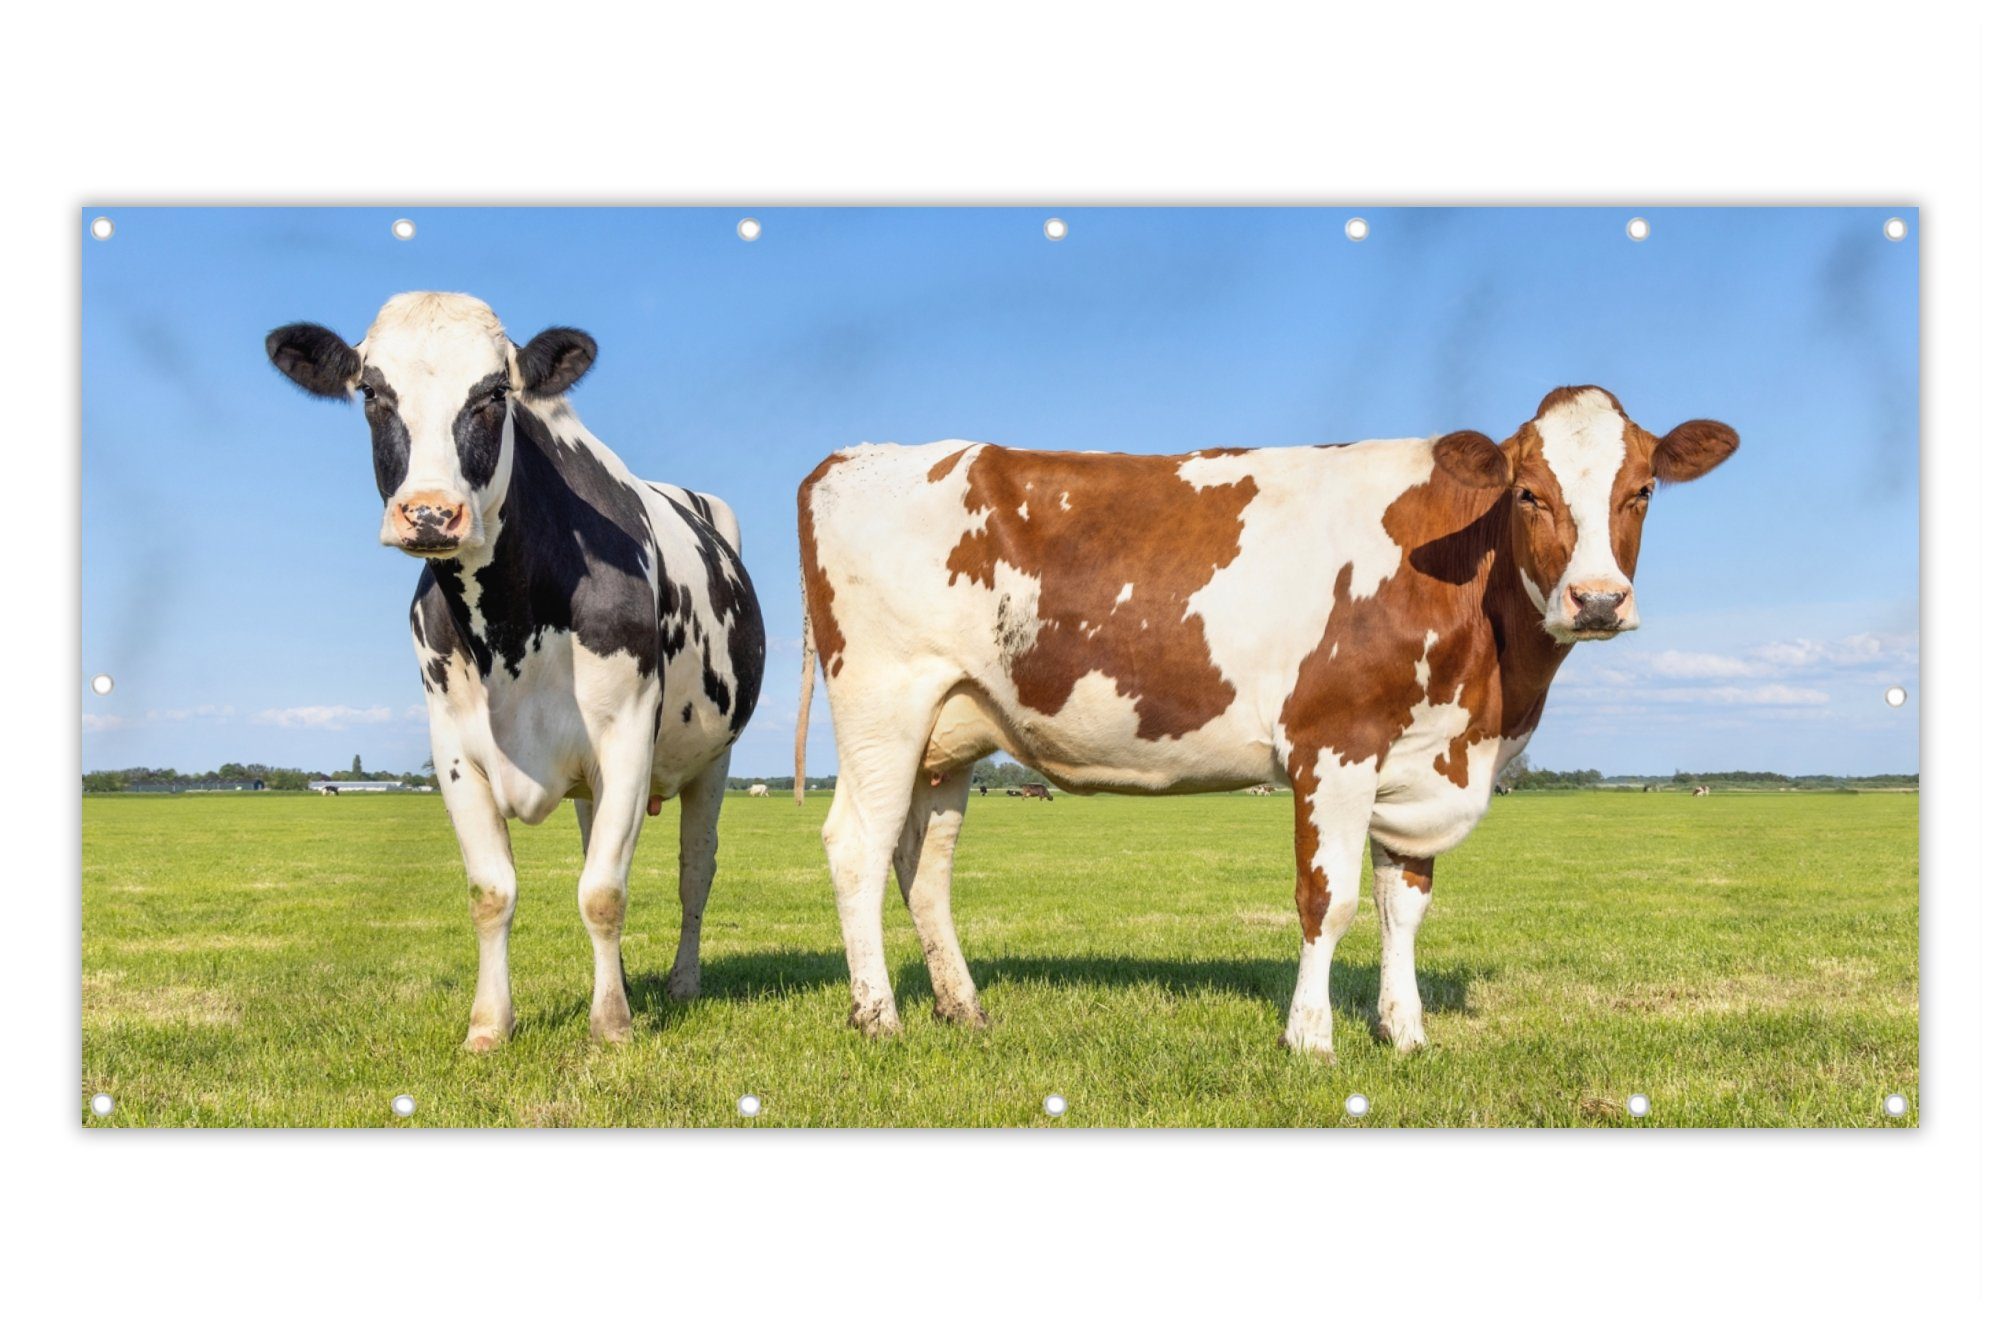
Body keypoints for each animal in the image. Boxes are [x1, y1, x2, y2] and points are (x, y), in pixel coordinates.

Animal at [267, 292, 765, 1050]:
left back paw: (681, 982)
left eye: (494, 394)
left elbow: (604, 892)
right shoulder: (454, 750)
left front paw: (612, 1026)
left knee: (694, 871)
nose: (430, 513)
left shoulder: (627, 737)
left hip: (712, 760)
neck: (507, 627)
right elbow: (494, 892)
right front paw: (489, 1025)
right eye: (372, 392)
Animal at [794, 385, 1734, 1054]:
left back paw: (963, 1008)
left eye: (1643, 489)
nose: (1598, 601)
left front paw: (1405, 1033)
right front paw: (1312, 1038)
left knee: (924, 862)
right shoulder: (1335, 742)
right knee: (857, 846)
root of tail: (855, 456)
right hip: (883, 701)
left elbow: (1404, 904)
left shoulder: (1422, 758)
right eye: (1531, 493)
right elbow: (1331, 899)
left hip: (950, 731)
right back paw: (878, 1015)